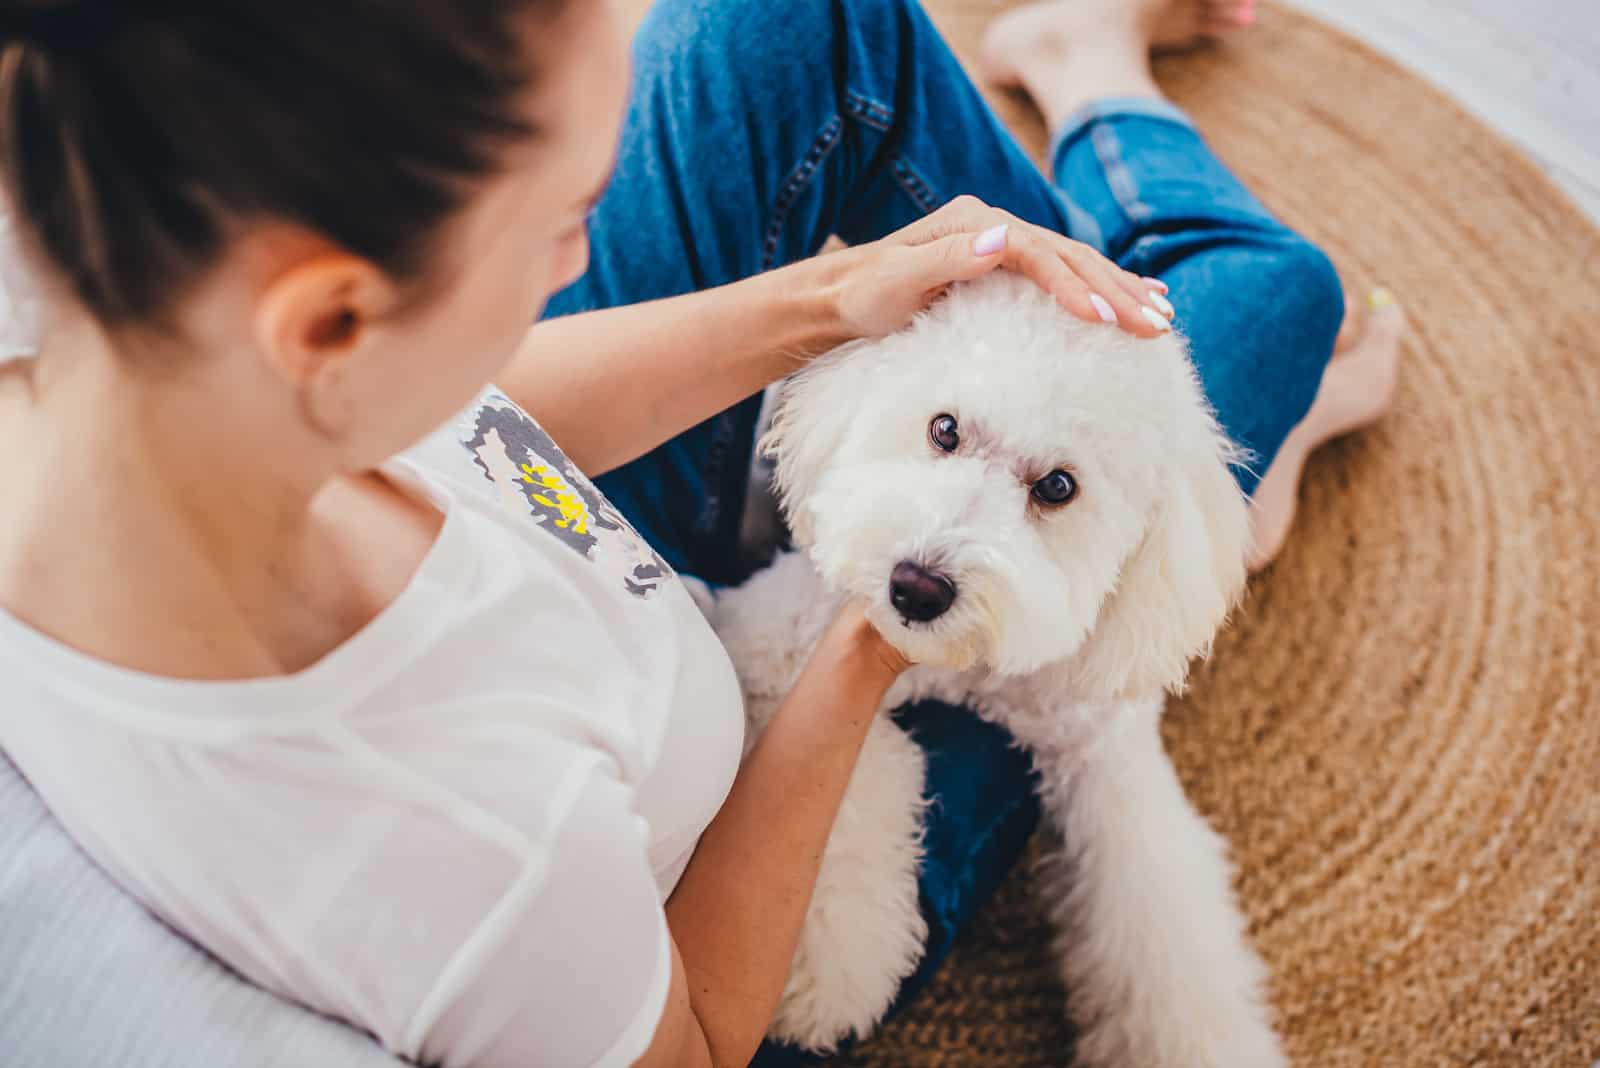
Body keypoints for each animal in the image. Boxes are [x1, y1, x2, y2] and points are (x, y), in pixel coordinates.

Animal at [700, 273, 1286, 1068]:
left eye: (1059, 487)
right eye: (944, 429)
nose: (916, 588)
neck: (969, 670)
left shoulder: (1105, 757)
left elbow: (1158, 926)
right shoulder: (771, 644)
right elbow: (845, 794)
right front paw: (832, 969)